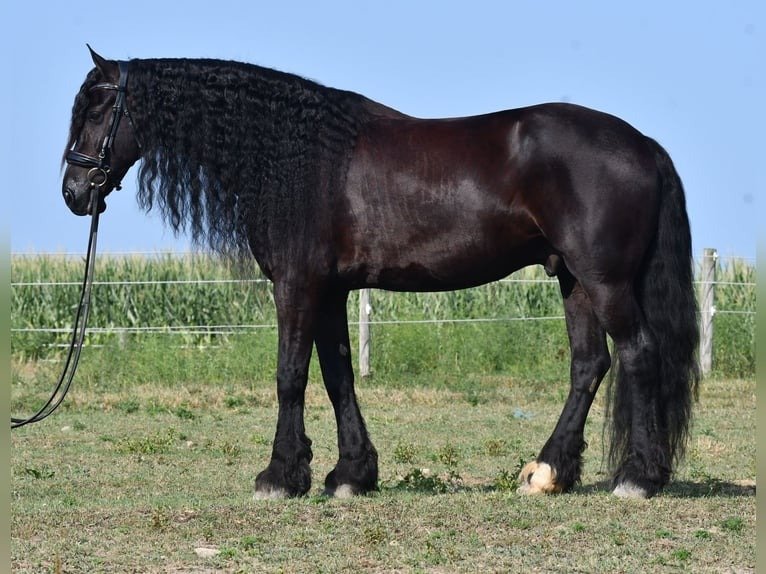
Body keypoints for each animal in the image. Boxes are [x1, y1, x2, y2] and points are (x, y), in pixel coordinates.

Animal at [62, 47, 699, 500]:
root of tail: (644, 145)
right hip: (573, 280)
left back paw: (638, 478)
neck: (295, 157)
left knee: (638, 353)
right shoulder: (330, 291)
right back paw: (548, 473)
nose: (73, 192)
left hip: (604, 281)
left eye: (96, 106)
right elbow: (338, 375)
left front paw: (279, 477)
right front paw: (349, 474)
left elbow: (290, 374)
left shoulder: (296, 285)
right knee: (589, 365)